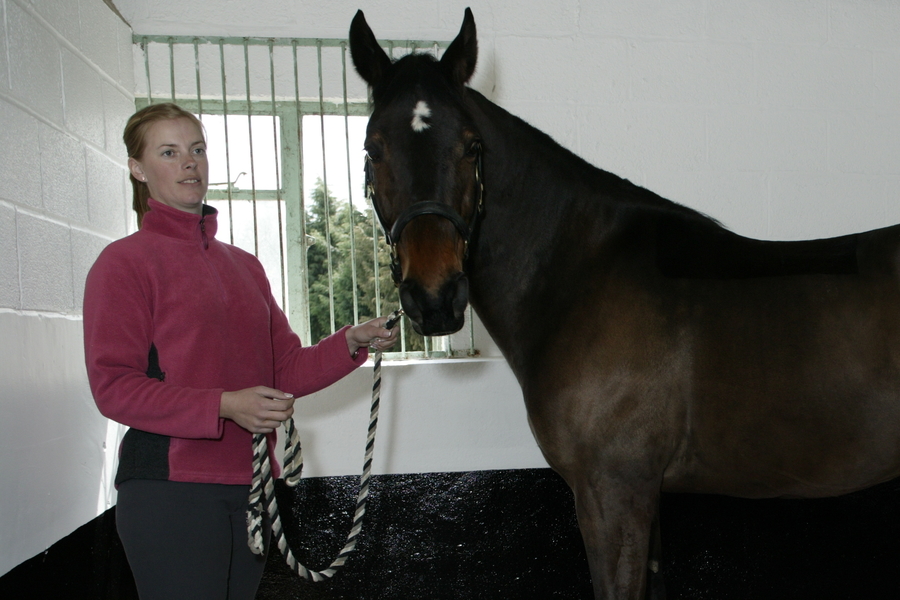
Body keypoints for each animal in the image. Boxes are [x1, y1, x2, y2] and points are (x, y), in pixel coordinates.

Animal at [348, 9, 900, 600]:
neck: (579, 269)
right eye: (372, 148)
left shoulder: (612, 494)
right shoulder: (642, 501)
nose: (436, 297)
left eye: (472, 147)